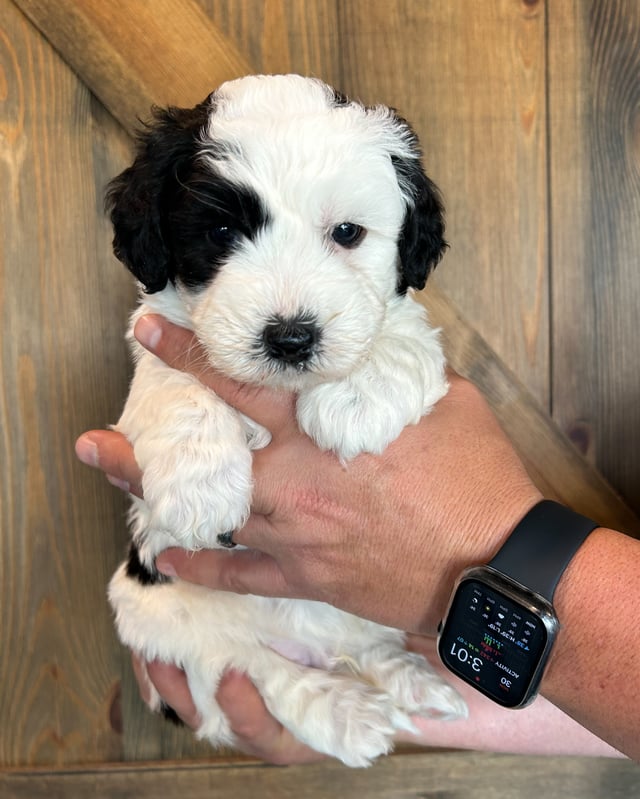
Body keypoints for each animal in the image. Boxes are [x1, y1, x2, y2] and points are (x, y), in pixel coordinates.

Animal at [105, 75, 464, 768]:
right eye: (221, 229)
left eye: (348, 232)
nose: (292, 338)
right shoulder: (156, 347)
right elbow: (178, 382)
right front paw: (199, 487)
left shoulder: (400, 318)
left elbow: (398, 330)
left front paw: (360, 395)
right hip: (154, 612)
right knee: (250, 667)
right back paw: (344, 711)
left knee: (361, 644)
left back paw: (412, 679)